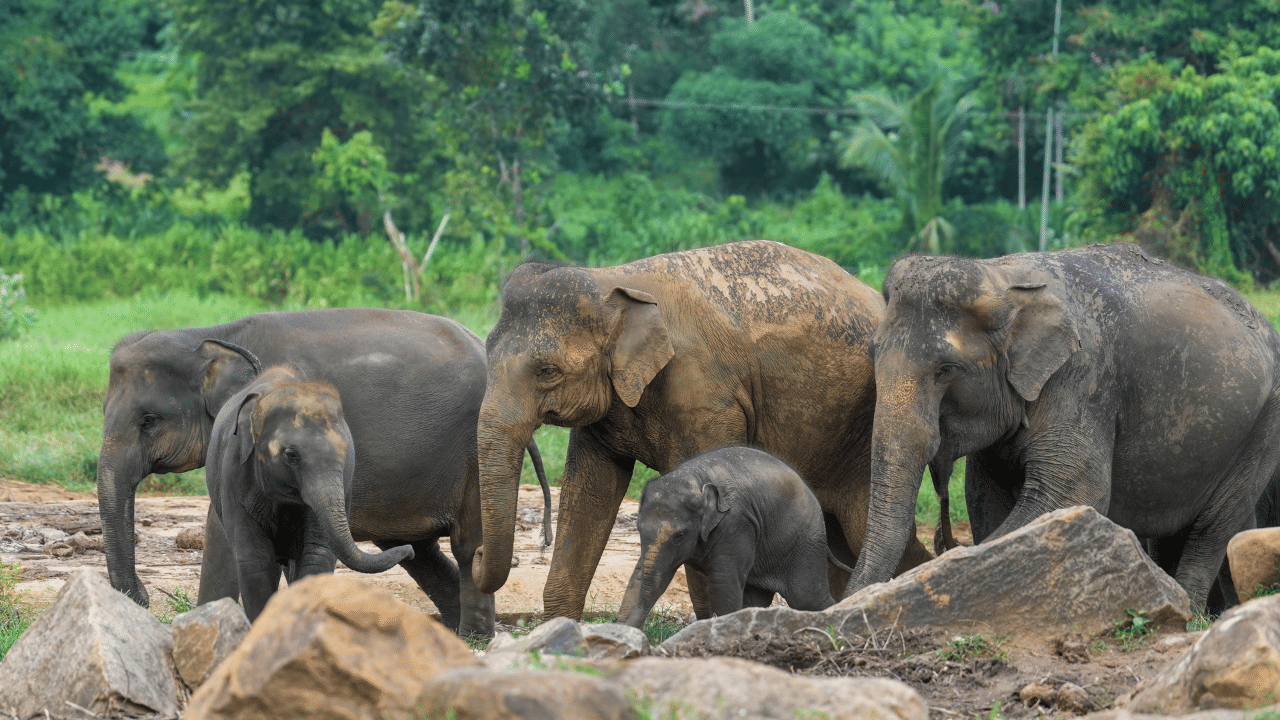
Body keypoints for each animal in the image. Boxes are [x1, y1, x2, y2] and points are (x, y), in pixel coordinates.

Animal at [206, 366, 416, 620]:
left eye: (346, 452)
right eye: (291, 455)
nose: (410, 550)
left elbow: (317, 555)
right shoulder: (233, 471)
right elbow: (254, 559)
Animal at [620, 446, 854, 628]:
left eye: (679, 535)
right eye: (639, 529)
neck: (694, 478)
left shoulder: (736, 524)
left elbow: (724, 582)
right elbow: (648, 573)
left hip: (806, 544)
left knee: (807, 597)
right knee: (757, 597)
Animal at [846, 243, 1280, 611]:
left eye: (946, 369)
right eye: (871, 351)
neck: (1003, 276)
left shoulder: (1082, 379)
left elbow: (1073, 493)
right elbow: (985, 499)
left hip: (1265, 424)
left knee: (1213, 525)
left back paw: (1191, 611)